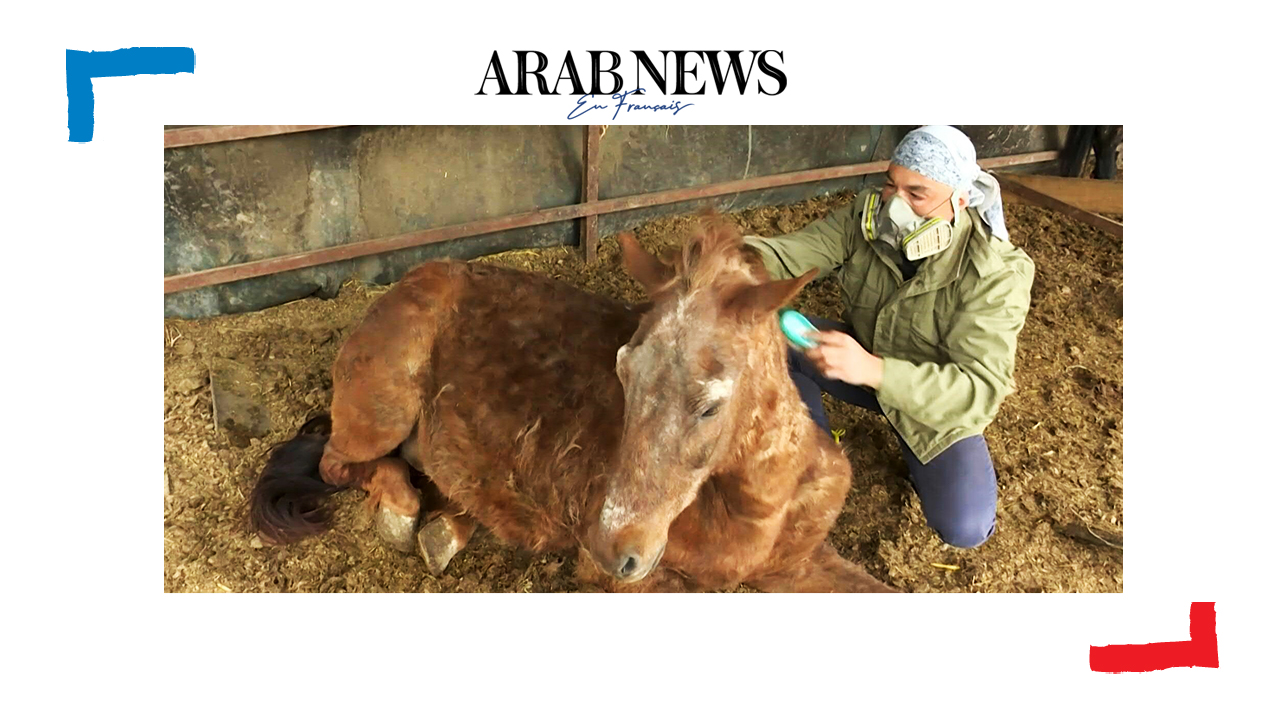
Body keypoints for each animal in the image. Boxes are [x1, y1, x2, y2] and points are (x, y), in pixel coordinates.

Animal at [249, 214, 897, 592]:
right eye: (623, 373)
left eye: (710, 406)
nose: (617, 548)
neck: (760, 509)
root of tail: (408, 281)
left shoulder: (801, 562)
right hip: (381, 413)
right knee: (341, 462)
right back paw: (404, 515)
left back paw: (446, 528)